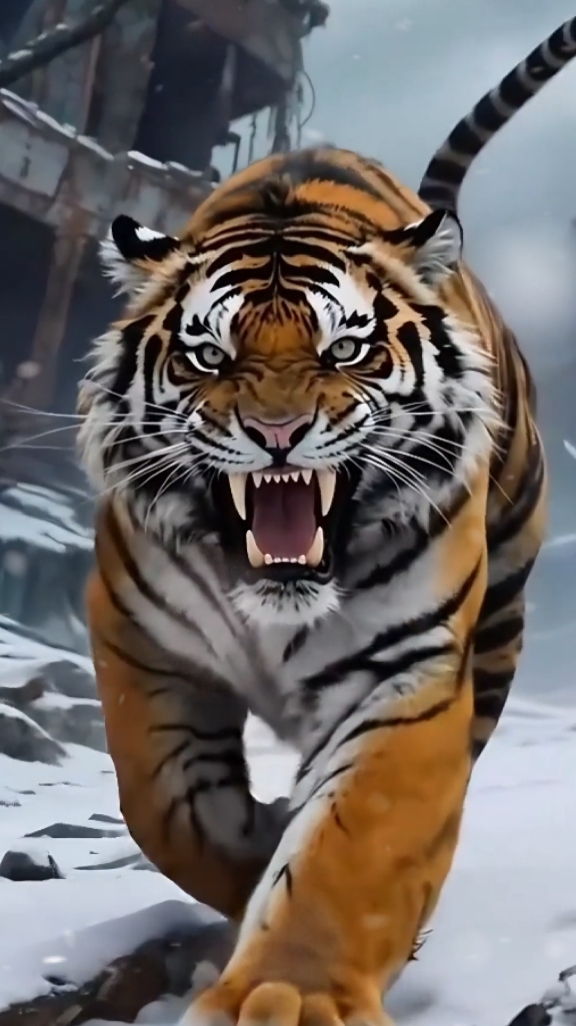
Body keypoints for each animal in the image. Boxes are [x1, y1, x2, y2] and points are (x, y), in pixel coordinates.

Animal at [77, 15, 576, 1026]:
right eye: (209, 355)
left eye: (345, 348)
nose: (277, 432)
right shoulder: (140, 640)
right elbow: (167, 806)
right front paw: (253, 858)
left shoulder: (405, 669)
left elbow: (357, 839)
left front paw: (291, 992)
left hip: (500, 620)